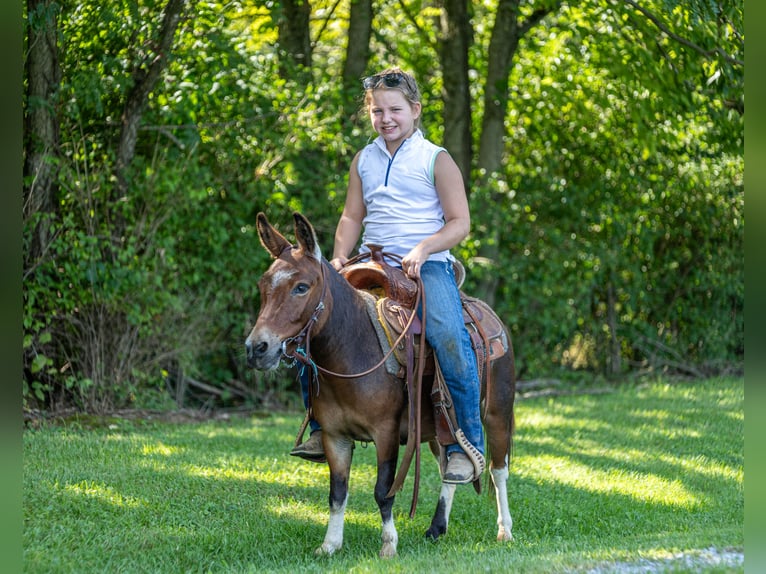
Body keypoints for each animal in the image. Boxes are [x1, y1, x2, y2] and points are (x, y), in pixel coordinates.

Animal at [245, 211, 516, 558]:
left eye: (301, 287)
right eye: (262, 285)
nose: (257, 348)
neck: (353, 352)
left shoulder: (385, 433)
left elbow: (383, 490)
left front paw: (388, 545)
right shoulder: (335, 437)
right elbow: (337, 491)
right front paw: (330, 544)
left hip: (496, 412)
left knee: (498, 469)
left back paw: (505, 531)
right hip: (439, 427)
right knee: (449, 468)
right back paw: (437, 527)